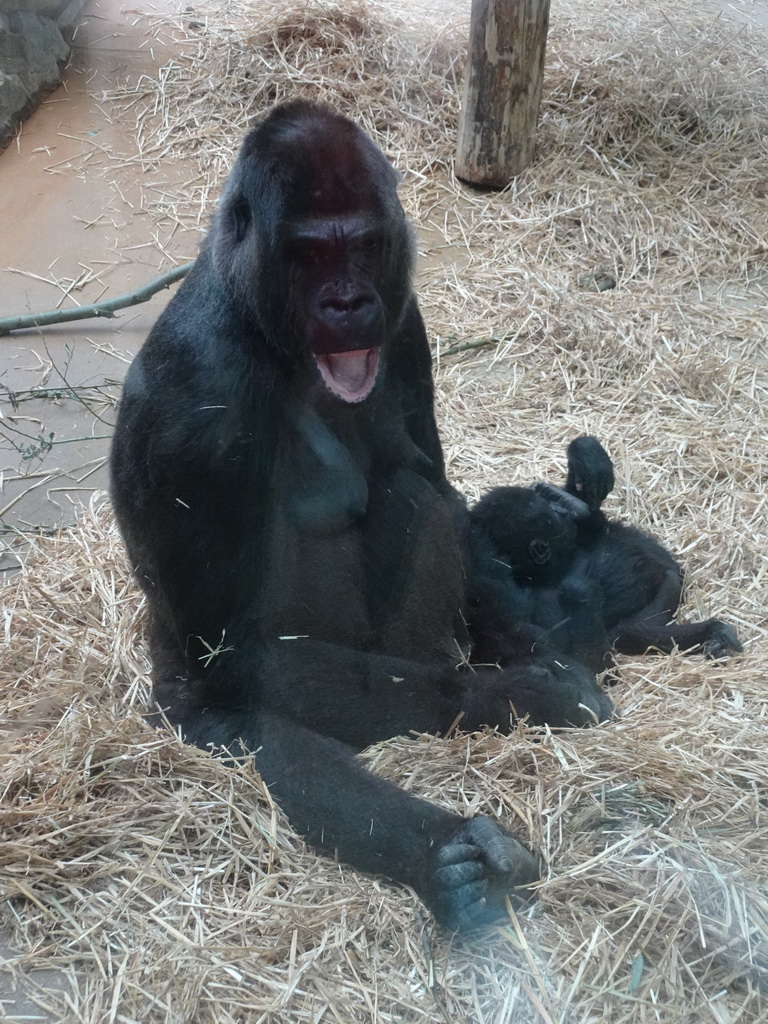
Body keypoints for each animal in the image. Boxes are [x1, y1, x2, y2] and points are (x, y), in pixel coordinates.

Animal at [109, 99, 614, 933]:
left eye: (368, 246)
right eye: (312, 253)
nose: (347, 303)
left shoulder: (404, 322)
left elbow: (436, 488)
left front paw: (538, 652)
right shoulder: (199, 393)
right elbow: (237, 658)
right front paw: (517, 694)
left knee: (408, 502)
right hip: (173, 696)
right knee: (263, 729)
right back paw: (448, 859)